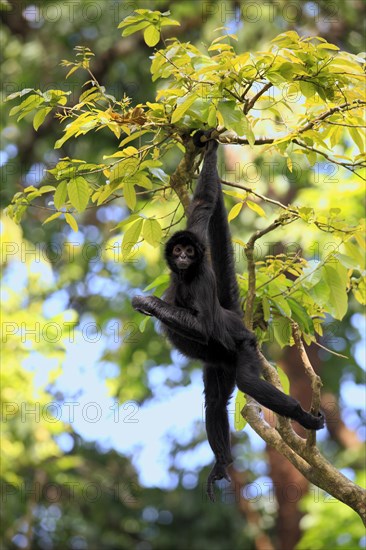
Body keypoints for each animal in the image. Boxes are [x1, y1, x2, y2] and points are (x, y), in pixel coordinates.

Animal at [132, 132, 324, 502]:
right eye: (178, 250)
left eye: (189, 252)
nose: (182, 256)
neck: (185, 276)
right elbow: (203, 205)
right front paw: (207, 147)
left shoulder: (202, 279)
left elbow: (205, 327)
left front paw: (148, 302)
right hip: (220, 362)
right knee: (215, 401)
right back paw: (223, 461)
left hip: (244, 346)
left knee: (247, 380)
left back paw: (301, 417)